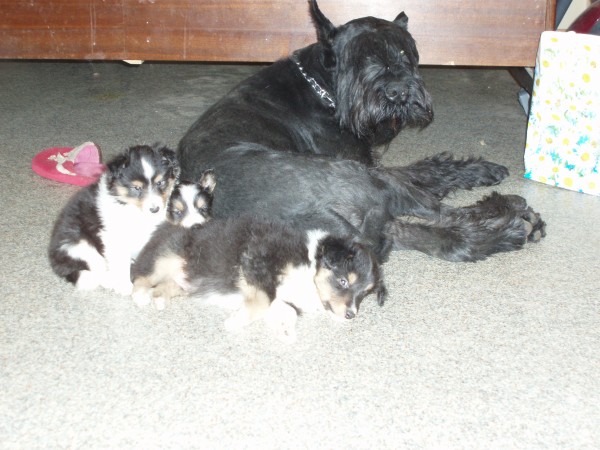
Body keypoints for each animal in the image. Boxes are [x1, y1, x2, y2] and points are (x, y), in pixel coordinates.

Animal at [48, 144, 180, 294]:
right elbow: (120, 263)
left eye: (161, 183)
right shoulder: (114, 238)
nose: (155, 209)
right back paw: (110, 281)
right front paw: (124, 286)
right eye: (137, 188)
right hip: (81, 246)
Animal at [131, 216, 385, 341]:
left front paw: (285, 330)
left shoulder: (283, 296)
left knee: (168, 284)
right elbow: (263, 300)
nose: (351, 315)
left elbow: (286, 309)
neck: (309, 265)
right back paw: (141, 295)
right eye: (343, 281)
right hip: (169, 256)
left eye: (364, 294)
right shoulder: (257, 261)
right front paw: (235, 321)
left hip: (185, 279)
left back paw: (159, 298)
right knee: (141, 274)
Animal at [177, 0, 545, 263]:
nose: (398, 92)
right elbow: (426, 174)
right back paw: (513, 212)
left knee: (441, 237)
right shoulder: (368, 164)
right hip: (369, 180)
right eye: (361, 57)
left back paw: (505, 232)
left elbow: (432, 168)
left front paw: (483, 168)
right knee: (442, 213)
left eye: (403, 51)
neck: (322, 88)